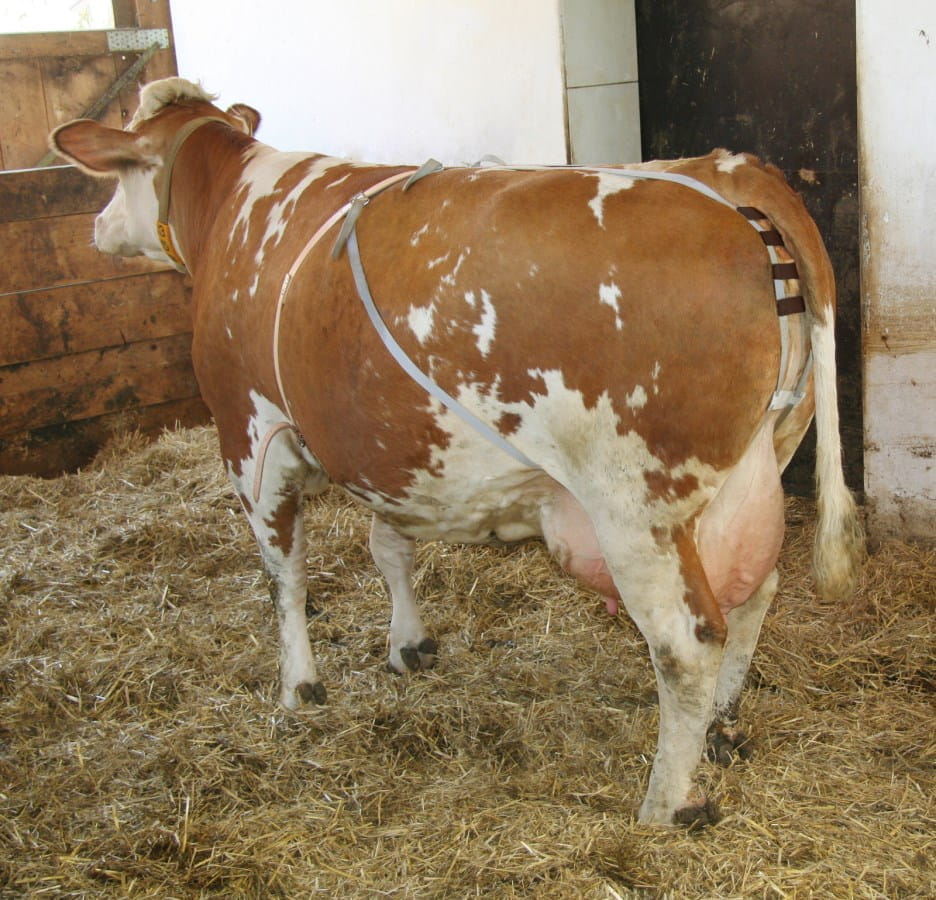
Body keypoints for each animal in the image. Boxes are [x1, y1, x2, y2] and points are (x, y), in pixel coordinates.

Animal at [51, 77, 863, 827]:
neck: (238, 207)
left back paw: (664, 803)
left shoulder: (251, 431)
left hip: (637, 506)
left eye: (120, 168)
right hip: (758, 463)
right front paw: (409, 644)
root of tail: (732, 172)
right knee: (754, 594)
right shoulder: (388, 448)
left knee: (687, 645)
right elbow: (388, 546)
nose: (95, 226)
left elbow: (284, 576)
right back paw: (724, 728)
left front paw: (298, 687)